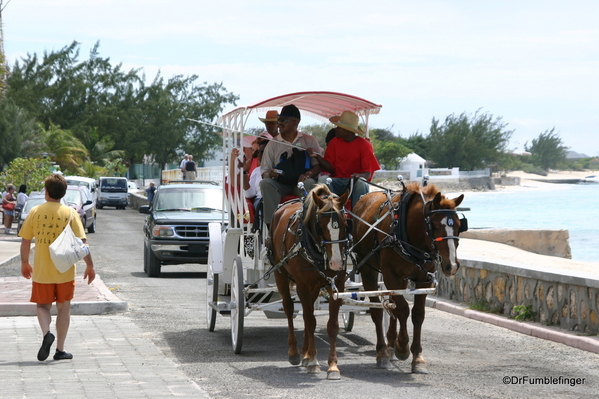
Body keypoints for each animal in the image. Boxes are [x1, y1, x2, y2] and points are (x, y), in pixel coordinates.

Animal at [272, 184, 352, 382]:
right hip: (280, 275)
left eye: (345, 224)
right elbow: (310, 322)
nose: (336, 263)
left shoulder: (336, 285)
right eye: (321, 227)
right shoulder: (302, 286)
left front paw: (332, 366)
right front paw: (315, 361)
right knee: (289, 308)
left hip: (314, 287)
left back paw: (306, 355)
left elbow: (331, 325)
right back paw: (294, 352)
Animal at [354, 183, 466, 376]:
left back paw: (390, 344)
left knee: (391, 304)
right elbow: (403, 309)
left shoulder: (424, 280)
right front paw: (402, 347)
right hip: (368, 269)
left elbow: (417, 314)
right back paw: (383, 352)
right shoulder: (390, 275)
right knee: (378, 310)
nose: (451, 265)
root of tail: (364, 198)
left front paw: (417, 357)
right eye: (435, 226)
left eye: (459, 225)